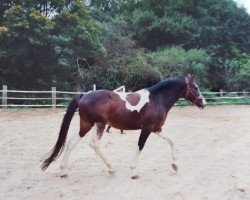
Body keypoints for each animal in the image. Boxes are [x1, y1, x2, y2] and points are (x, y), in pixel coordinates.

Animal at [40, 76, 205, 179]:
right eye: (195, 88)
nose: (203, 103)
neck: (156, 100)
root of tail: (84, 95)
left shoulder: (157, 128)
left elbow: (171, 141)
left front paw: (175, 165)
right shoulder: (147, 128)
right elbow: (140, 146)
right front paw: (134, 171)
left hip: (86, 125)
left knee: (71, 143)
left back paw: (63, 171)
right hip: (99, 124)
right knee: (94, 144)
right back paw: (111, 168)